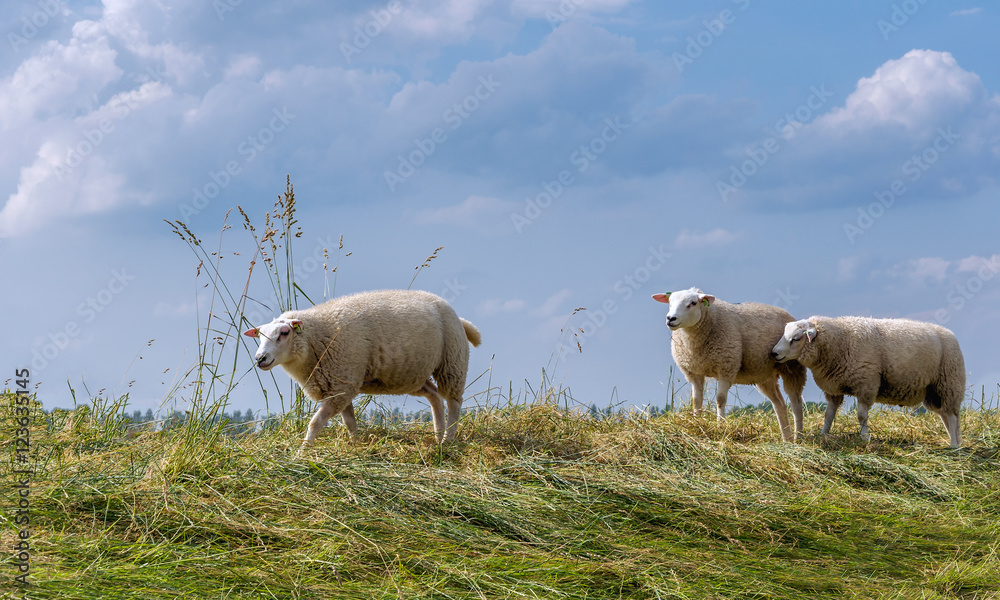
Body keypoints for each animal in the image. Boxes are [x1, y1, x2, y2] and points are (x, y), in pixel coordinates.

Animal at [243, 290, 482, 451]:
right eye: (259, 336)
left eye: (284, 333)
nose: (260, 359)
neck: (317, 337)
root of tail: (460, 319)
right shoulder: (341, 385)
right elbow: (349, 422)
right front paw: (355, 445)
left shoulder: (341, 384)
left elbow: (315, 423)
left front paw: (302, 452)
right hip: (412, 374)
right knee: (435, 397)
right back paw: (438, 437)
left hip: (452, 363)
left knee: (454, 402)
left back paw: (448, 440)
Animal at [651, 288, 807, 442]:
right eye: (670, 302)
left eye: (693, 303)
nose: (671, 319)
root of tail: (789, 316)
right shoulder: (694, 372)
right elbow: (696, 400)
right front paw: (696, 423)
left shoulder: (727, 367)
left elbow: (720, 399)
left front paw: (720, 426)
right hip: (764, 375)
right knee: (779, 404)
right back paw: (786, 439)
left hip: (792, 368)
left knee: (796, 403)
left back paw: (798, 437)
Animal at [770, 316, 965, 447]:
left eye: (796, 338)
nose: (774, 353)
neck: (841, 340)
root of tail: (949, 333)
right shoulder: (834, 389)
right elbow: (829, 414)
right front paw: (823, 434)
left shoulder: (866, 384)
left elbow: (861, 416)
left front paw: (865, 437)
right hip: (933, 391)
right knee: (947, 416)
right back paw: (955, 442)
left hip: (949, 384)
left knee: (952, 416)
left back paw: (953, 445)